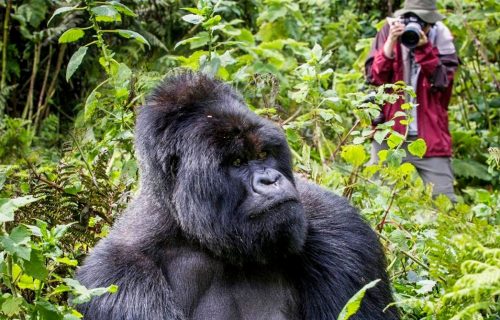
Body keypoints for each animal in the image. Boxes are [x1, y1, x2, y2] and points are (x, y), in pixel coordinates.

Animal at [77, 71, 398, 318]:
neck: (196, 236)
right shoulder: (113, 281)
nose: (270, 180)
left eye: (264, 154)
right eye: (237, 162)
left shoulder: (341, 229)